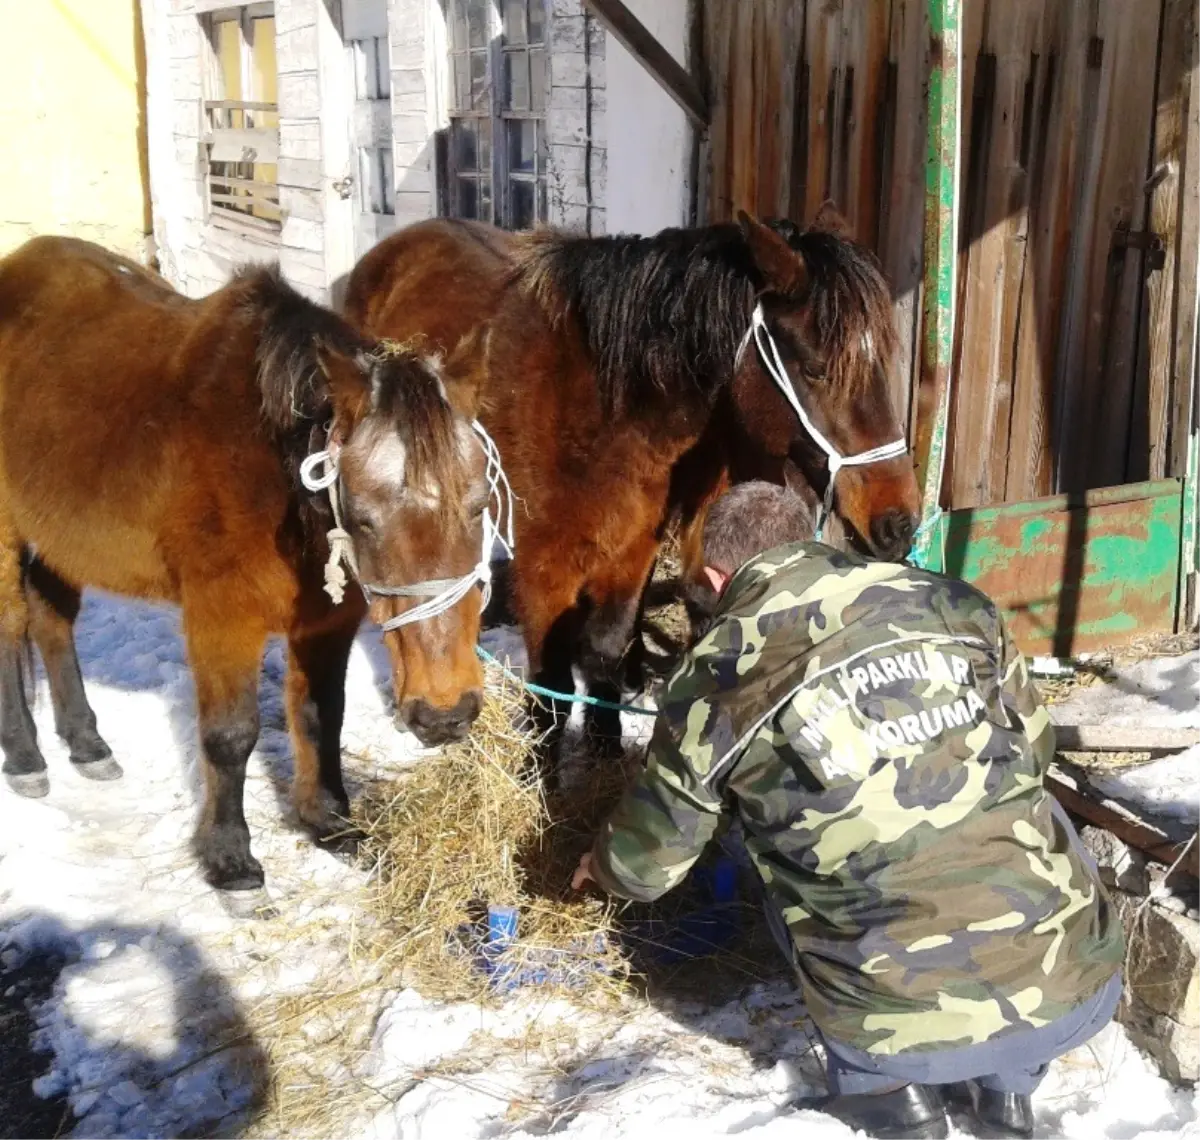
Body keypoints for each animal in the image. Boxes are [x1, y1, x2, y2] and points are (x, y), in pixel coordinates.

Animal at [0, 236, 492, 907]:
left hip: (62, 534)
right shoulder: (220, 618)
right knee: (10, 630)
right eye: (364, 518)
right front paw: (232, 862)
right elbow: (230, 736)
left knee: (51, 620)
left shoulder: (324, 624)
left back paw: (86, 743)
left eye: (479, 505)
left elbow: (320, 715)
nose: (445, 714)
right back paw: (26, 758)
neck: (273, 468)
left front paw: (329, 822)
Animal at [345, 208, 916, 739]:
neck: (601, 403)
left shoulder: (634, 547)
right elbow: (552, 683)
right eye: (817, 369)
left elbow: (607, 649)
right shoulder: (543, 565)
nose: (899, 523)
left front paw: (607, 744)